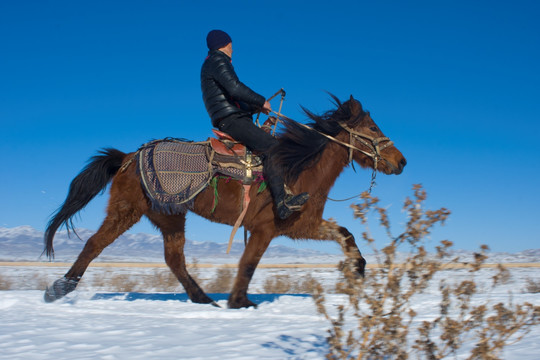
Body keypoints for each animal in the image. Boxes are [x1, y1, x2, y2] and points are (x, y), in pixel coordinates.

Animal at [43, 96, 404, 310]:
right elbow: (248, 263)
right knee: (94, 243)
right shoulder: (266, 228)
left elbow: (346, 234)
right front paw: (239, 301)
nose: (400, 162)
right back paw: (58, 289)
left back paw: (203, 299)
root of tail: (127, 157)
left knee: (174, 259)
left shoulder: (303, 225)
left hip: (169, 217)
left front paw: (357, 270)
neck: (299, 168)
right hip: (126, 210)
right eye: (373, 127)